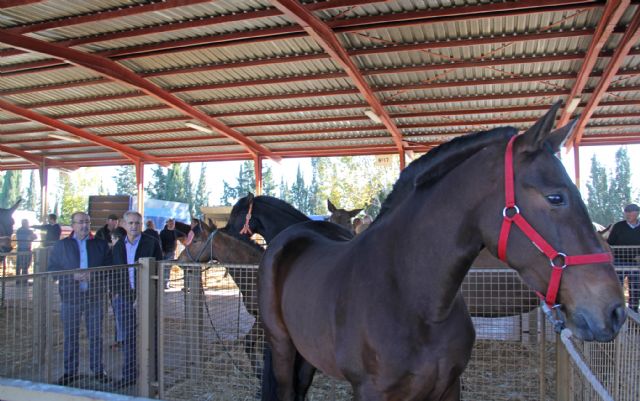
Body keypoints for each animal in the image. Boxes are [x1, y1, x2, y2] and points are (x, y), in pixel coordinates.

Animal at [256, 103, 624, 400]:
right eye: (555, 197)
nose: (615, 310)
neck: (410, 299)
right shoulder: (372, 392)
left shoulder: (448, 387)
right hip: (282, 348)